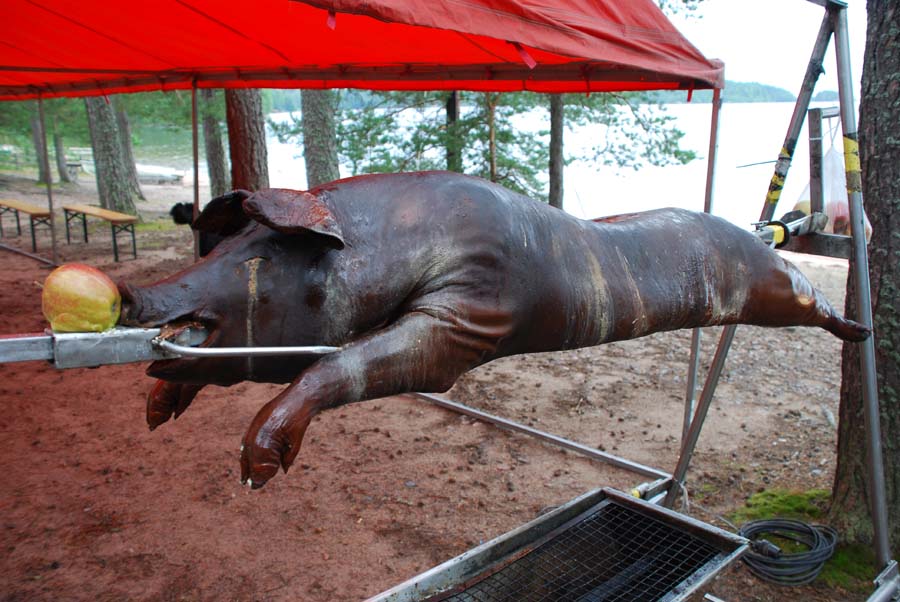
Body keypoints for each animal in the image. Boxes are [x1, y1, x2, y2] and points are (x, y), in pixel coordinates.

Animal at [118, 171, 869, 488]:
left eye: (259, 257)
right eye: (218, 244)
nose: (129, 295)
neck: (391, 239)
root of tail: (760, 235)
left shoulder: (470, 316)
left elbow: (341, 364)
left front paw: (259, 467)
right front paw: (156, 411)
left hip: (775, 284)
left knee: (810, 300)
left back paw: (857, 329)